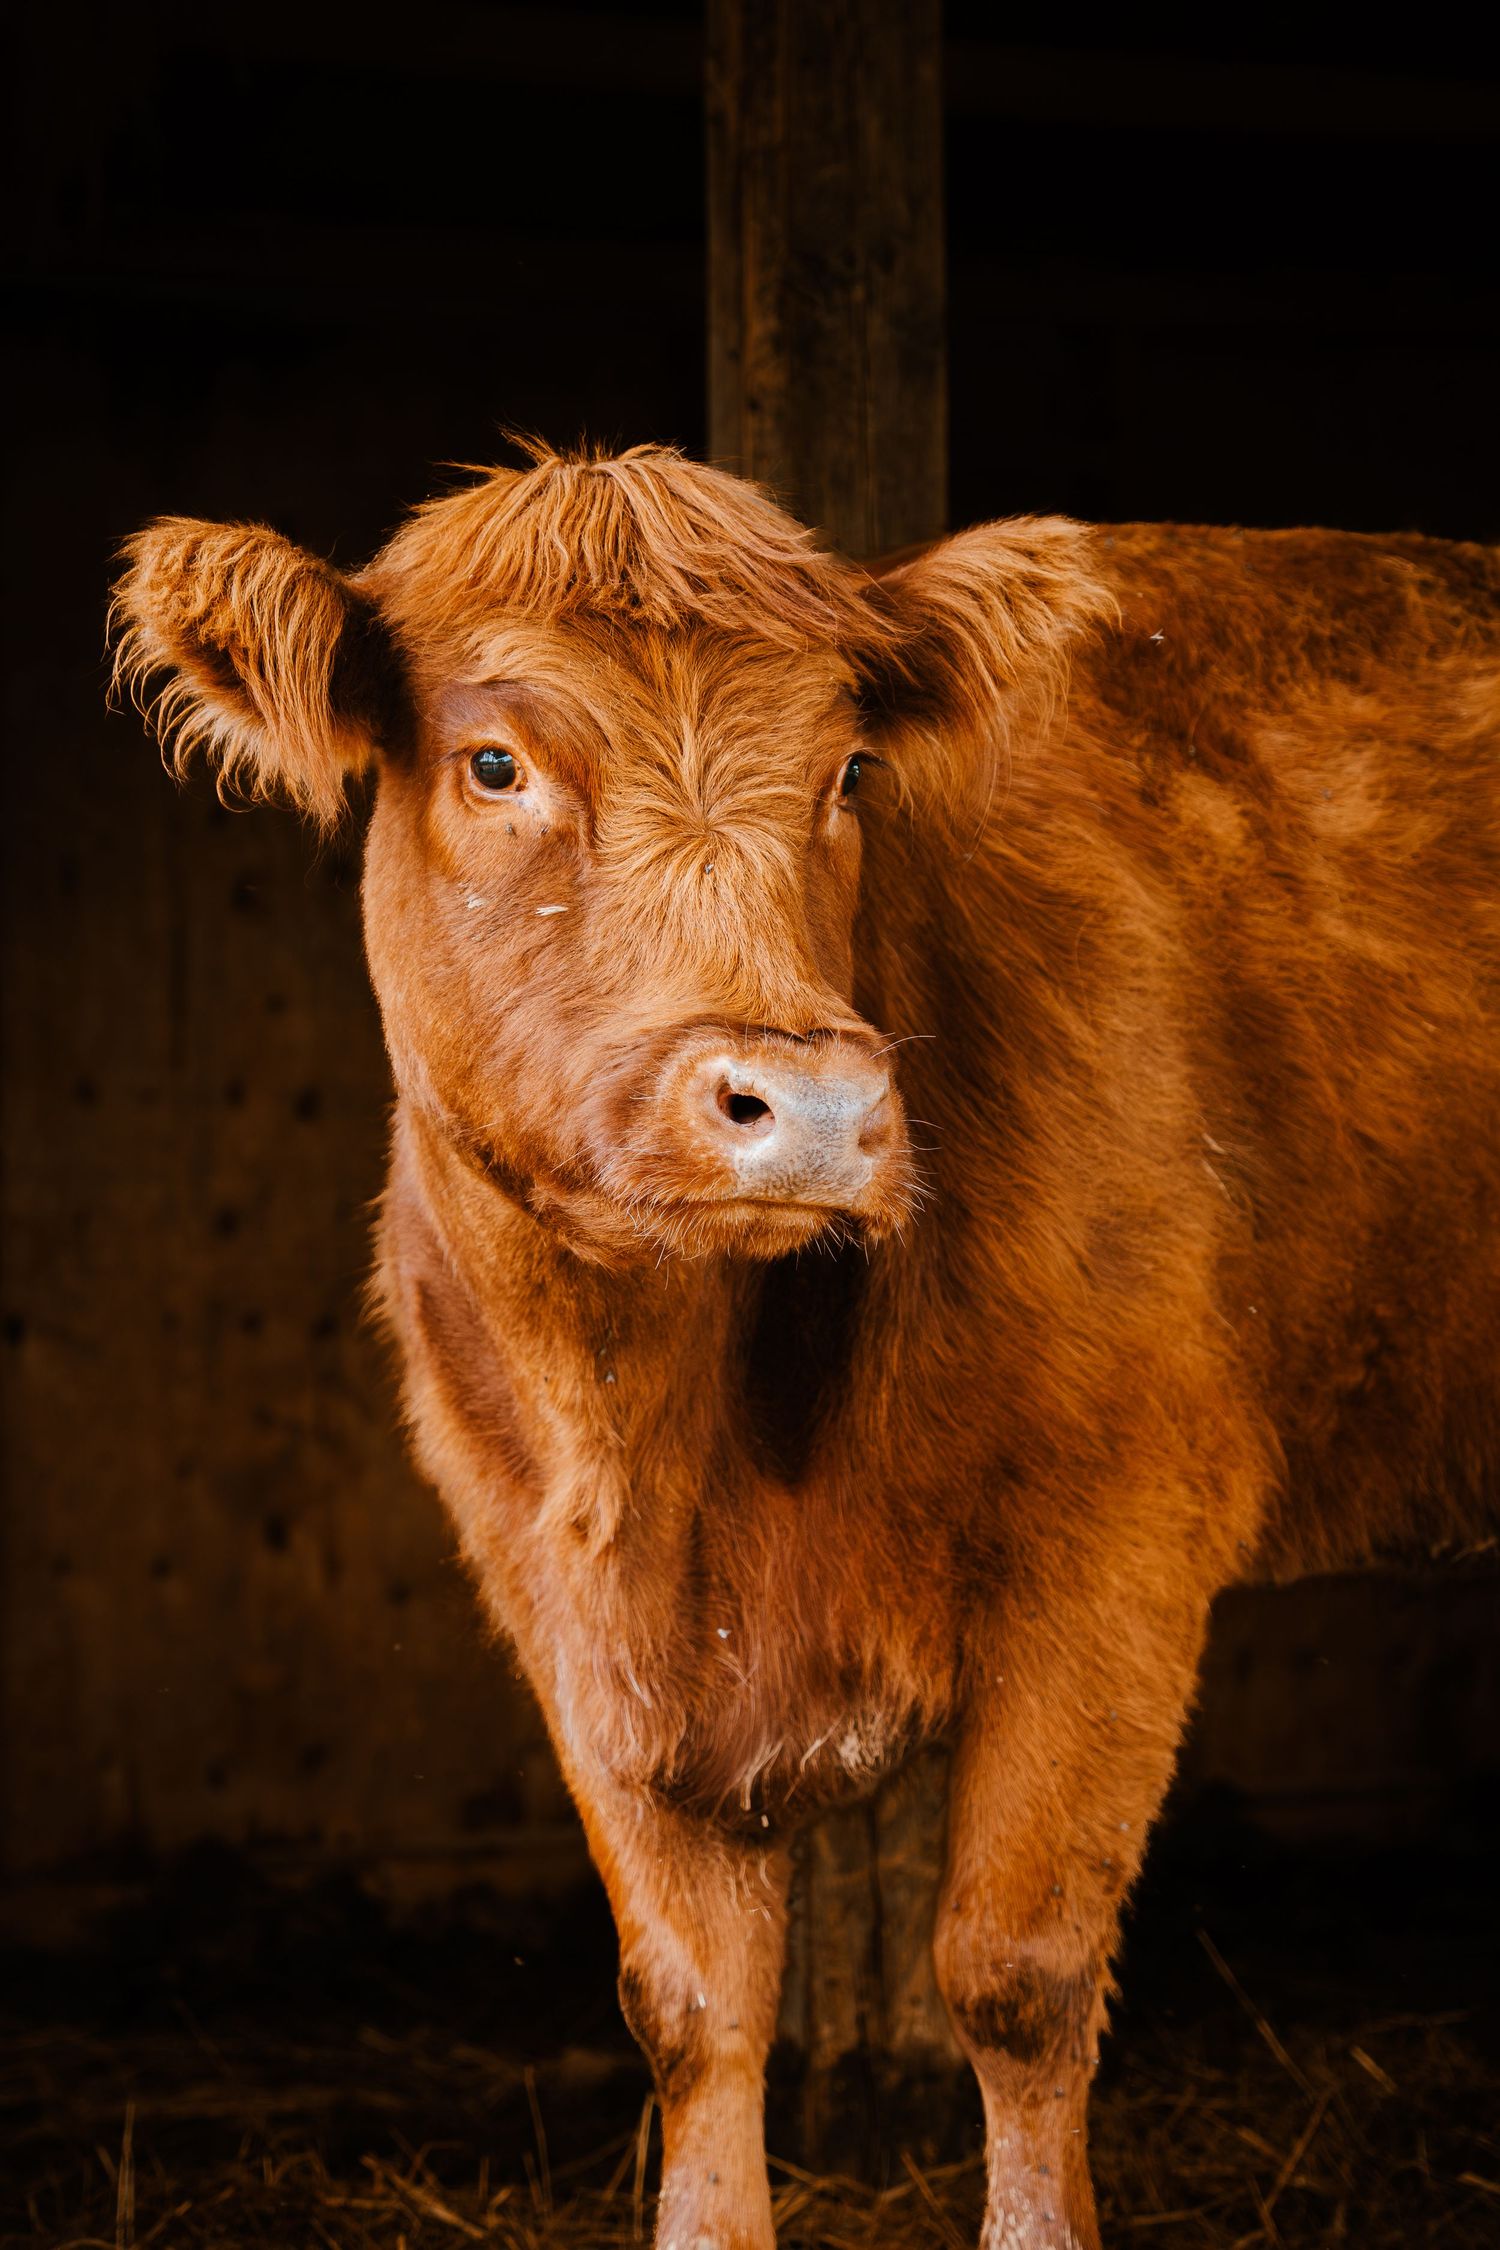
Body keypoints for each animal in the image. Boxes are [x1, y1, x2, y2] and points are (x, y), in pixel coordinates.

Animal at [115, 442, 1500, 2250]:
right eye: (494, 761)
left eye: (847, 769)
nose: (817, 1106)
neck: (670, 1428)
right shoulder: (562, 1611)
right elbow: (691, 2005)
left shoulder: (1118, 1550)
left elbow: (1015, 1976)